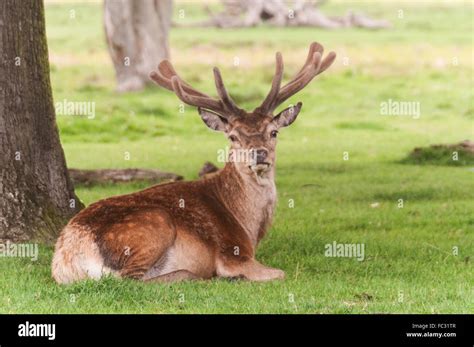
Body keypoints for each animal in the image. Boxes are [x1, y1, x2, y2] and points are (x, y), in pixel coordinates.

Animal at [51, 42, 336, 284]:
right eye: (232, 136)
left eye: (273, 132)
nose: (259, 153)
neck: (250, 227)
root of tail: (68, 257)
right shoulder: (232, 252)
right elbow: (280, 273)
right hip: (153, 224)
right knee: (130, 280)